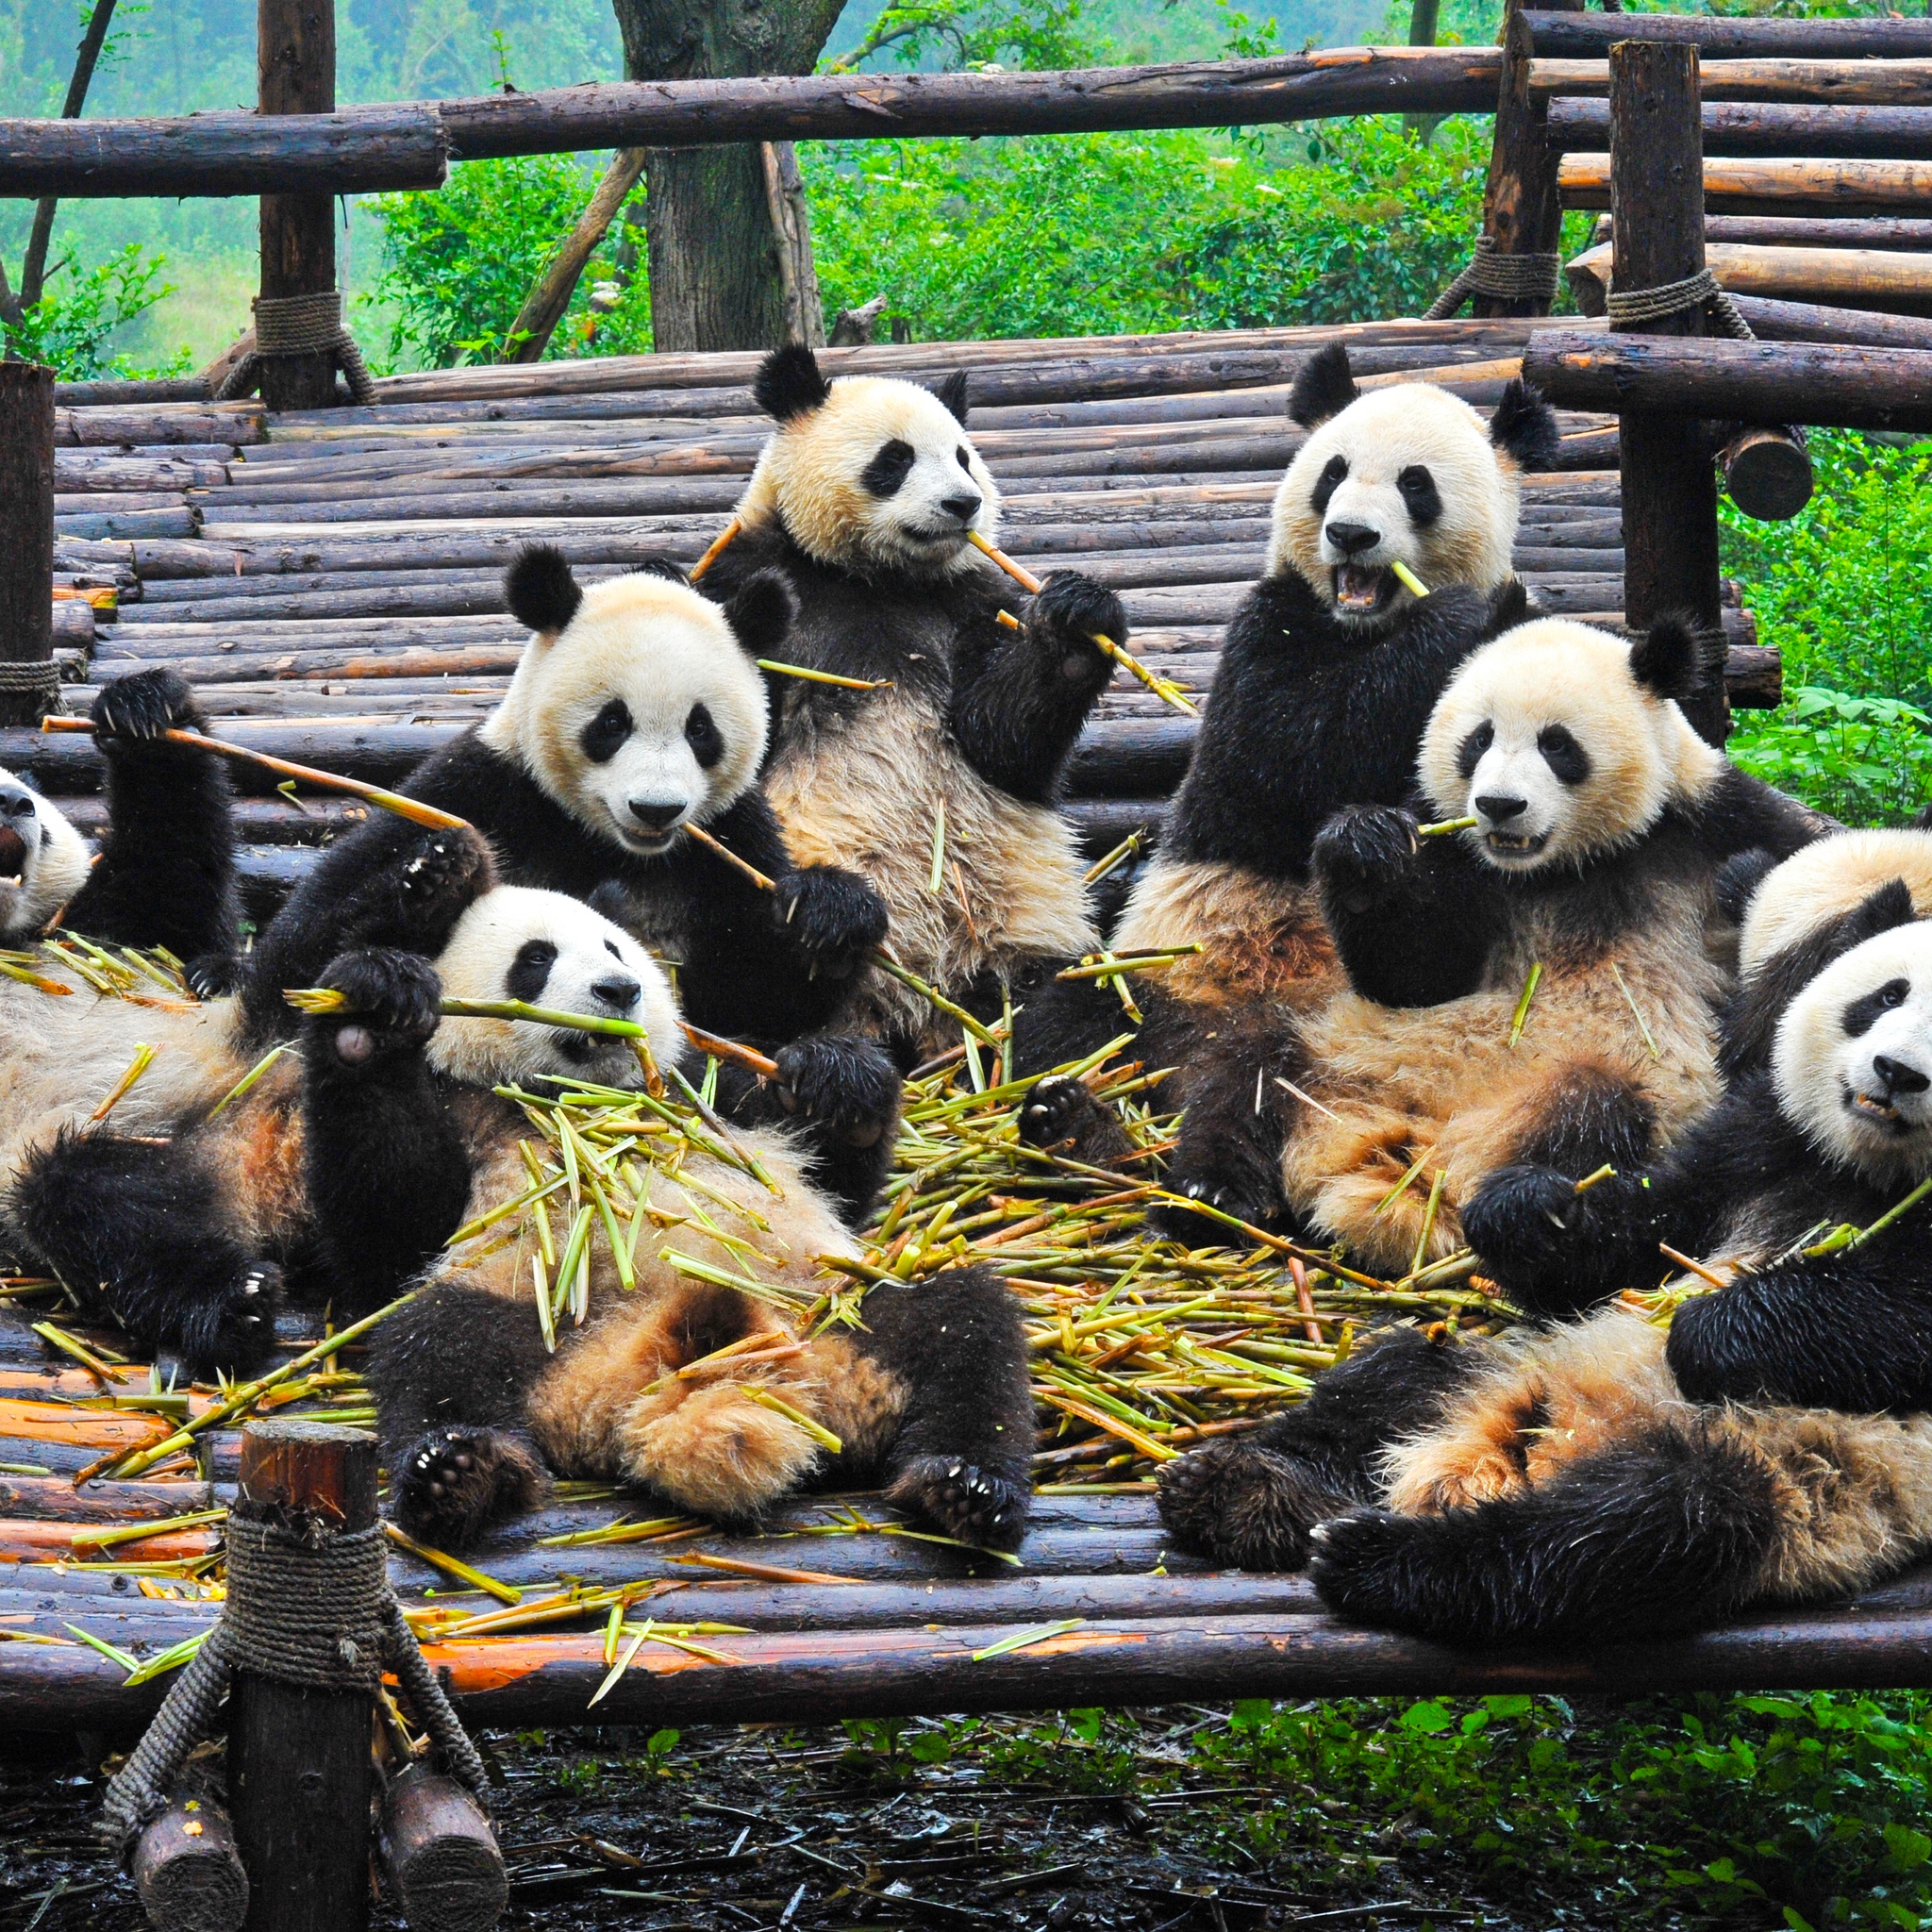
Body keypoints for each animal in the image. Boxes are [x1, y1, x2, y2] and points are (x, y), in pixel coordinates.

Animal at [8, 830, 902, 1381]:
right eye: (536, 961)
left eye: (614, 946)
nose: (620, 990)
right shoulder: (440, 1113)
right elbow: (394, 1233)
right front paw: (373, 1021)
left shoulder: (696, 1091)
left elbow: (827, 1180)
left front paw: (840, 1084)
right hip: (175, 1132)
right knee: (96, 1201)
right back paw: (235, 1298)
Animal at [241, 555, 889, 1053]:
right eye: (612, 723)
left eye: (700, 729)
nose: (656, 810)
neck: (610, 844)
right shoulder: (484, 787)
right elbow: (286, 967)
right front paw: (437, 880)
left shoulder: (730, 838)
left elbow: (763, 1002)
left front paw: (831, 913)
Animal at [695, 343, 1129, 1057]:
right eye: (894, 459)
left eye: (963, 455)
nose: (964, 504)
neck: (877, 579)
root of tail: (920, 1014)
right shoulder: (747, 586)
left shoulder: (970, 605)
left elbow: (1000, 738)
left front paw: (1078, 621)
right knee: (749, 973)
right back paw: (828, 924)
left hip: (1022, 930)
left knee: (1085, 994)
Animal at [1008, 345, 1557, 1210]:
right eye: (1333, 473)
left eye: (1416, 484)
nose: (1350, 534)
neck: (1363, 624)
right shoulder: (1268, 624)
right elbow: (1284, 749)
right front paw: (1457, 618)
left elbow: (1437, 948)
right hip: (1158, 974)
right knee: (1070, 1016)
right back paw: (1084, 1130)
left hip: (1321, 1031)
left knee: (1257, 1084)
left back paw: (1202, 1175)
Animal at [1153, 916, 1932, 1646]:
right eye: (1886, 995)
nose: (1896, 1072)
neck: (1863, 1167)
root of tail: (1538, 1443)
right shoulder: (1758, 1136)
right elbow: (1642, 1235)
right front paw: (1527, 1213)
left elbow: (1895, 1319)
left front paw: (1708, 1328)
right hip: (1510, 1357)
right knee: (1388, 1380)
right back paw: (1242, 1490)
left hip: (1787, 1469)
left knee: (1626, 1534)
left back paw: (1375, 1558)